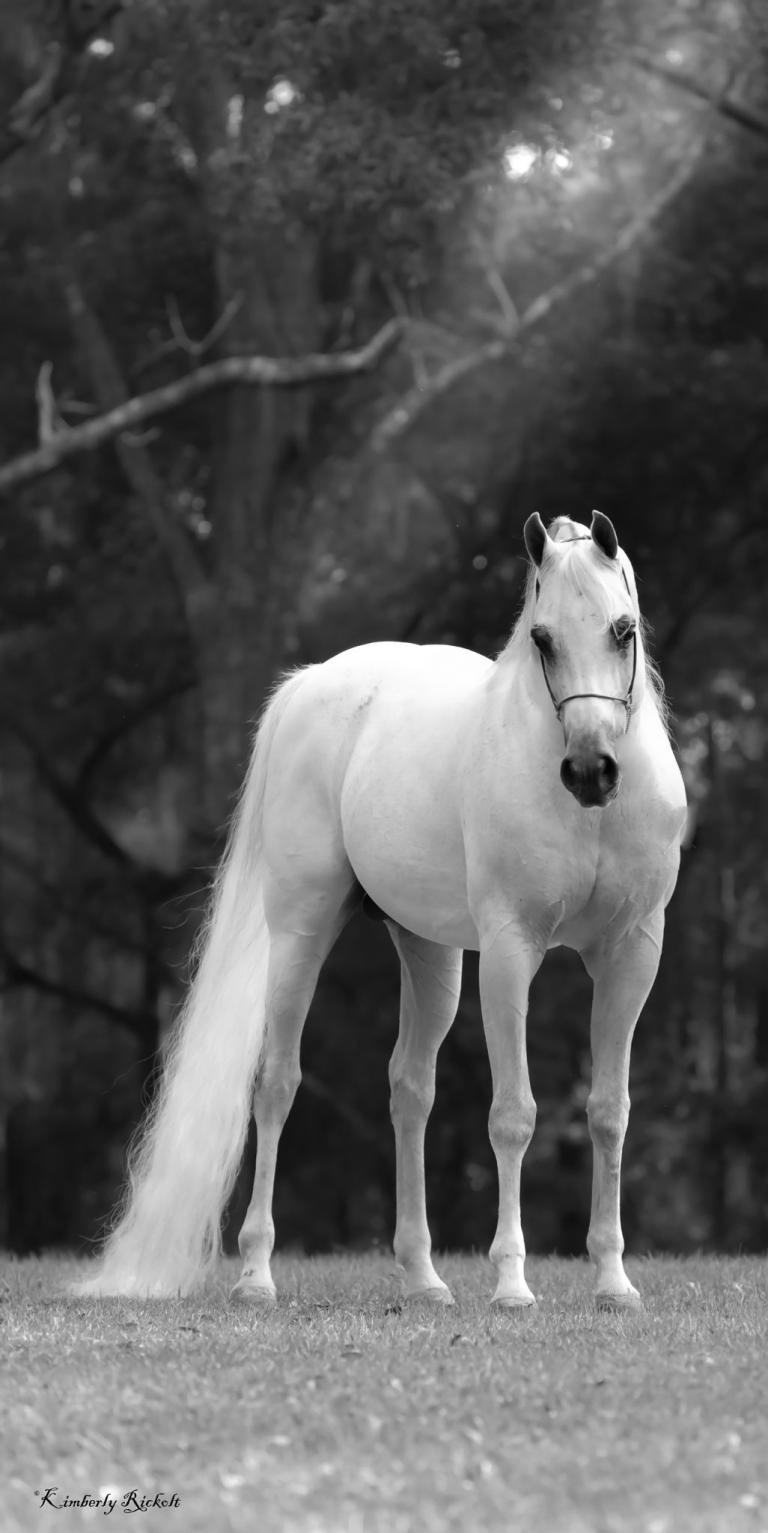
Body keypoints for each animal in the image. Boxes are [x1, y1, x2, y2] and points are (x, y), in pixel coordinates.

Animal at [75, 511, 687, 1310]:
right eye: (542, 637)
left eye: (623, 628)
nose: (590, 771)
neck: (588, 813)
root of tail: (313, 682)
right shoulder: (511, 951)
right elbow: (514, 1115)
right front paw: (512, 1283)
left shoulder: (631, 955)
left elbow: (609, 1112)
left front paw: (614, 1281)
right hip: (301, 933)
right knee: (277, 1084)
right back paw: (256, 1275)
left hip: (430, 955)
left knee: (409, 1089)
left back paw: (424, 1277)